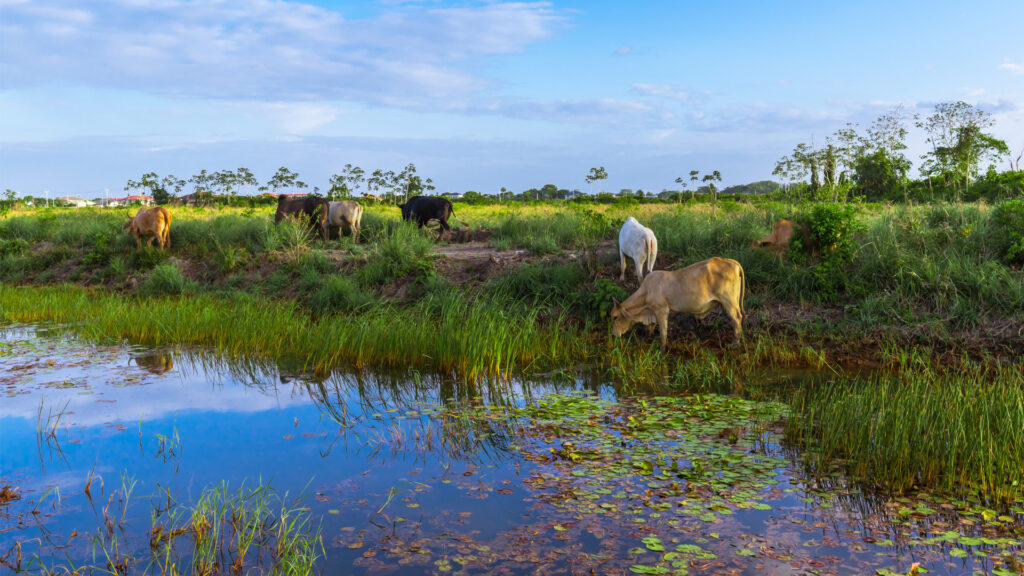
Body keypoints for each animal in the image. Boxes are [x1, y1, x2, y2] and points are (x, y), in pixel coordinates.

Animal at [606, 256, 745, 350]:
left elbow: (663, 333)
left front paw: (662, 350)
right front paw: (645, 339)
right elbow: (650, 328)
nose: (612, 334)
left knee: (736, 318)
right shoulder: (653, 313)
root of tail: (730, 261)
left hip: (729, 301)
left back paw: (735, 344)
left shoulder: (661, 311)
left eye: (615, 317)